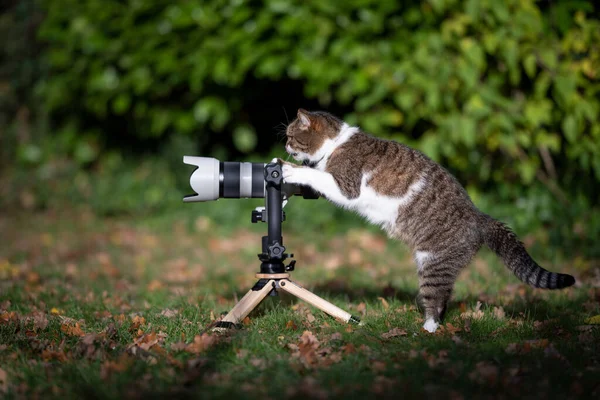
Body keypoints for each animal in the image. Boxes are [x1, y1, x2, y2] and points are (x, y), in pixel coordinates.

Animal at [282, 108, 576, 332]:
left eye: (290, 136)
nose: (284, 145)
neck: (337, 144)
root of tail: (480, 217)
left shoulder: (346, 185)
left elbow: (317, 175)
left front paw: (292, 170)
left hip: (433, 264)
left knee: (437, 302)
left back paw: (426, 330)